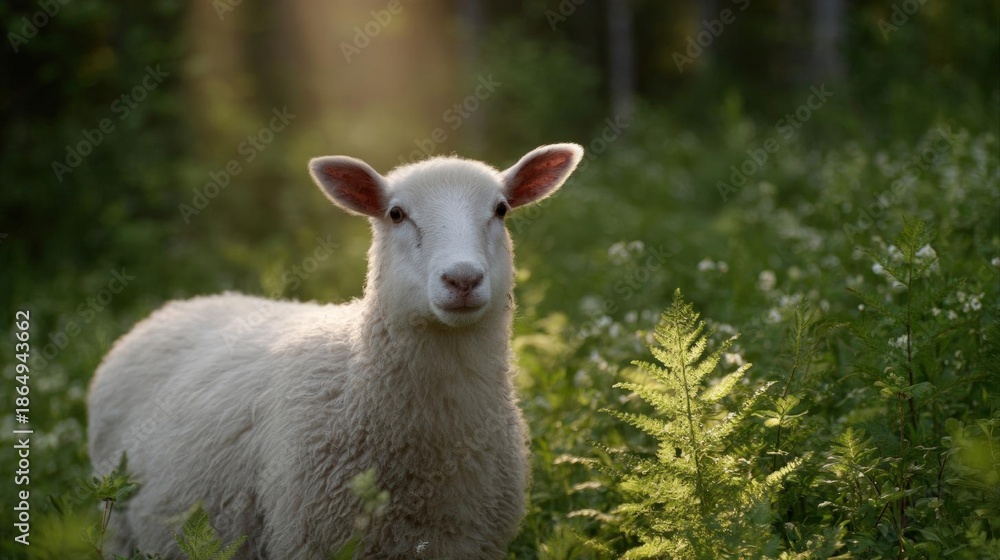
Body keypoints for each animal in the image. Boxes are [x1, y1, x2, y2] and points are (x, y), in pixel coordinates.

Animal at [86, 143, 584, 560]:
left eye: (501, 209)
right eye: (396, 213)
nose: (462, 279)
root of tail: (178, 305)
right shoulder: (311, 539)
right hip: (116, 522)